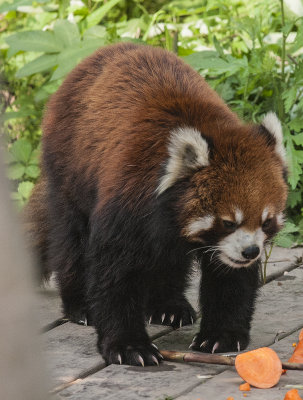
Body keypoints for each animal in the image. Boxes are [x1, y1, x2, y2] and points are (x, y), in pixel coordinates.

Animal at [25, 43, 288, 366]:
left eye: (266, 221)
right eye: (228, 222)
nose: (250, 251)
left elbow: (230, 279)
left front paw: (220, 336)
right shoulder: (128, 199)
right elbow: (114, 272)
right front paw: (128, 345)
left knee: (168, 258)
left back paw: (168, 307)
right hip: (69, 167)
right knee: (71, 239)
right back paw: (81, 305)